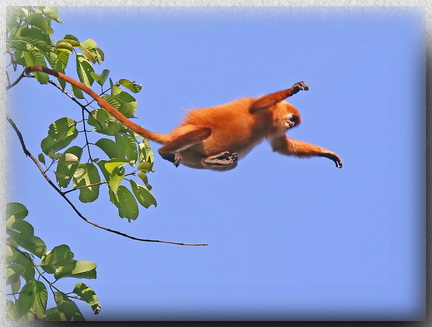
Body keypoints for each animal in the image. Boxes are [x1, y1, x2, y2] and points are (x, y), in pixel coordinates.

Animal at [25, 66, 342, 172]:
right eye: (292, 118)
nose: (290, 123)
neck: (270, 121)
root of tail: (172, 137)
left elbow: (280, 147)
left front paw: (328, 154)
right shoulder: (261, 110)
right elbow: (257, 105)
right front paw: (292, 88)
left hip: (192, 157)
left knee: (225, 160)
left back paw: (216, 160)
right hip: (188, 136)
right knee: (201, 131)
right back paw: (166, 152)